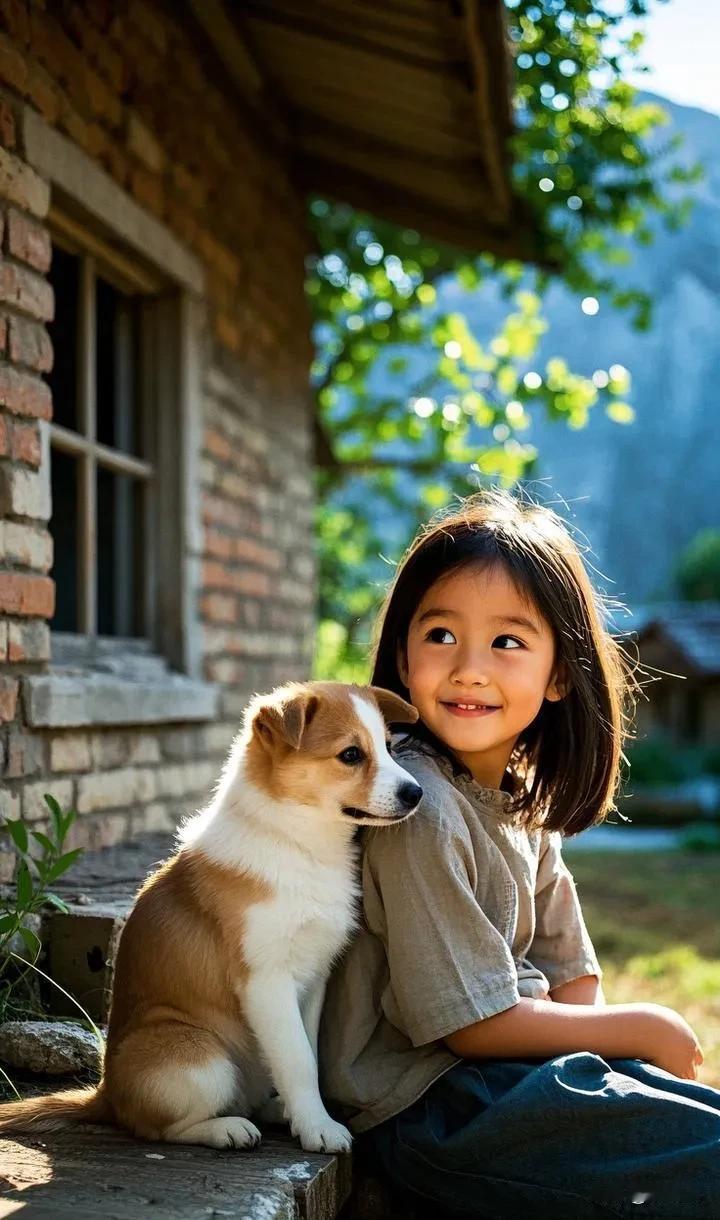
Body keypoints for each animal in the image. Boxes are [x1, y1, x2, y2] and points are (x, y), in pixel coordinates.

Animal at [0, 688, 422, 1151]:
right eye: (350, 754)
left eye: (389, 746)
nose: (416, 793)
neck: (294, 841)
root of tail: (105, 1095)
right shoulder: (265, 980)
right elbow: (298, 1061)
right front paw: (318, 1127)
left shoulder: (315, 979)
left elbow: (307, 1052)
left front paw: (306, 1116)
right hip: (200, 1056)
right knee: (159, 1129)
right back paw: (227, 1129)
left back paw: (273, 1110)